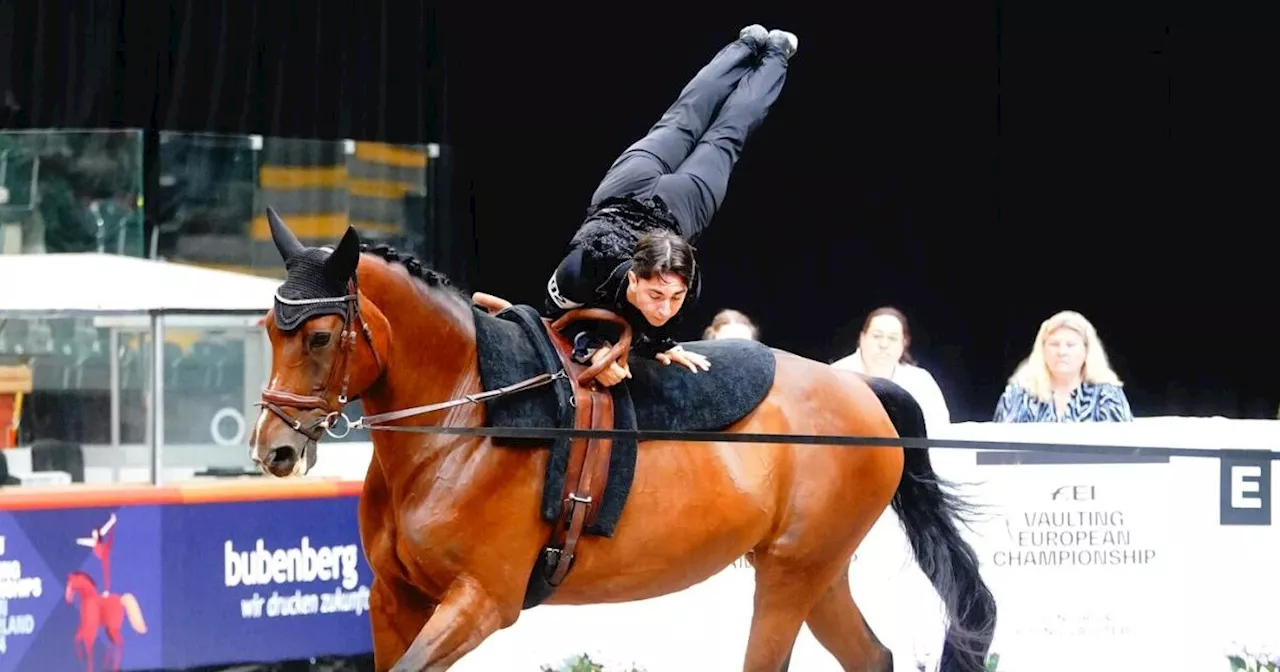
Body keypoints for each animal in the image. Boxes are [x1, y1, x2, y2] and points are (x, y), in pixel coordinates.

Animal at [244, 211, 993, 670]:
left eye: (318, 337)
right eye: (267, 330)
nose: (273, 450)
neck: (463, 422)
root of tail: (861, 387)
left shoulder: (480, 601)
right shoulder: (395, 598)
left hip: (791, 575)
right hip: (819, 572)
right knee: (872, 657)